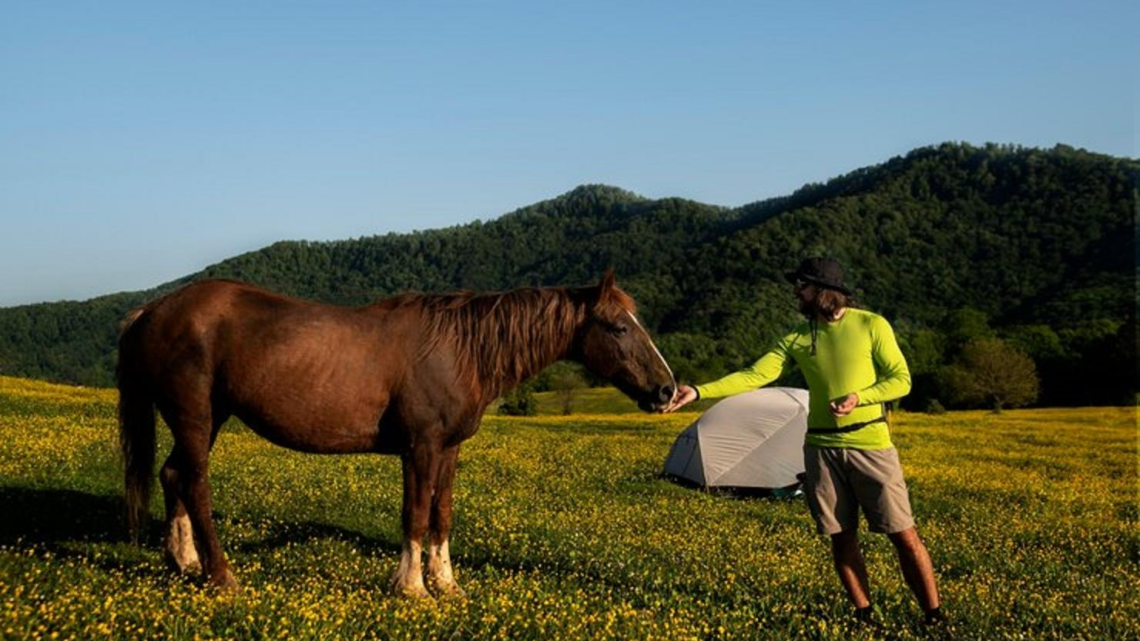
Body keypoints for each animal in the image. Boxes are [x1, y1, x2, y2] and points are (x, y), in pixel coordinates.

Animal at [116, 269, 670, 593]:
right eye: (619, 327)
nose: (667, 391)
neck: (460, 349)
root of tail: (154, 309)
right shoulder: (419, 448)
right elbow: (416, 514)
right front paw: (412, 587)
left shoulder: (448, 450)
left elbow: (442, 516)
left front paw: (446, 585)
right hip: (195, 416)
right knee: (195, 484)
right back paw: (220, 575)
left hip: (208, 418)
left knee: (172, 476)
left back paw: (184, 562)